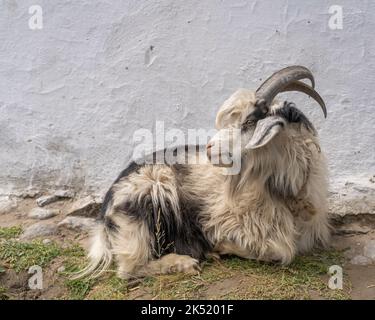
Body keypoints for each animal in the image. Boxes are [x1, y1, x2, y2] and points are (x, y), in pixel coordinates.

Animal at [78, 65, 328, 280]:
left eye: (249, 122)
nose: (209, 149)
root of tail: (105, 211)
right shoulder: (224, 222)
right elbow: (280, 252)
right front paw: (218, 247)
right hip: (148, 197)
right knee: (129, 269)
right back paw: (184, 262)